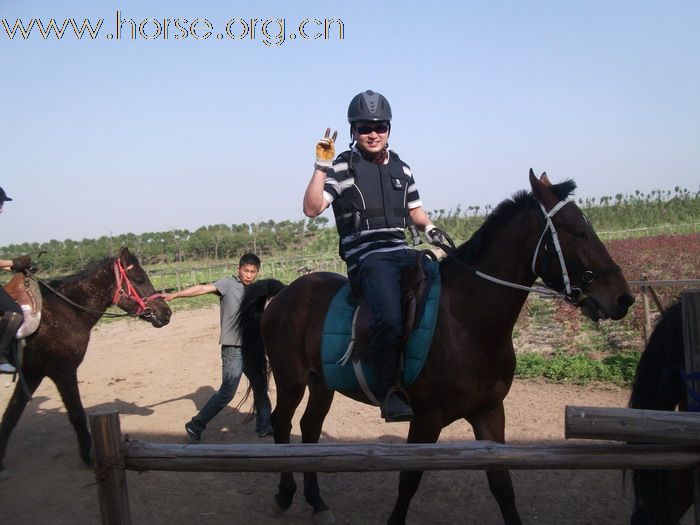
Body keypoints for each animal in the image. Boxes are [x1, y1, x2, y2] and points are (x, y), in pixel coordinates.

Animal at [1, 248, 171, 472]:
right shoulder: (62, 371)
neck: (65, 311)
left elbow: (11, 415)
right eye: (139, 278)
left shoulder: (32, 373)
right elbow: (77, 415)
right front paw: (88, 456)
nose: (166, 312)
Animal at [239, 170, 636, 520]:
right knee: (281, 424)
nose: (623, 298)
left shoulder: (489, 413)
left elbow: (503, 486)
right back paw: (285, 495)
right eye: (576, 231)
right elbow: (409, 482)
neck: (465, 319)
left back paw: (317, 501)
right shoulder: (426, 420)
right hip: (292, 381)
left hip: (323, 383)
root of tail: (286, 291)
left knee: (309, 430)